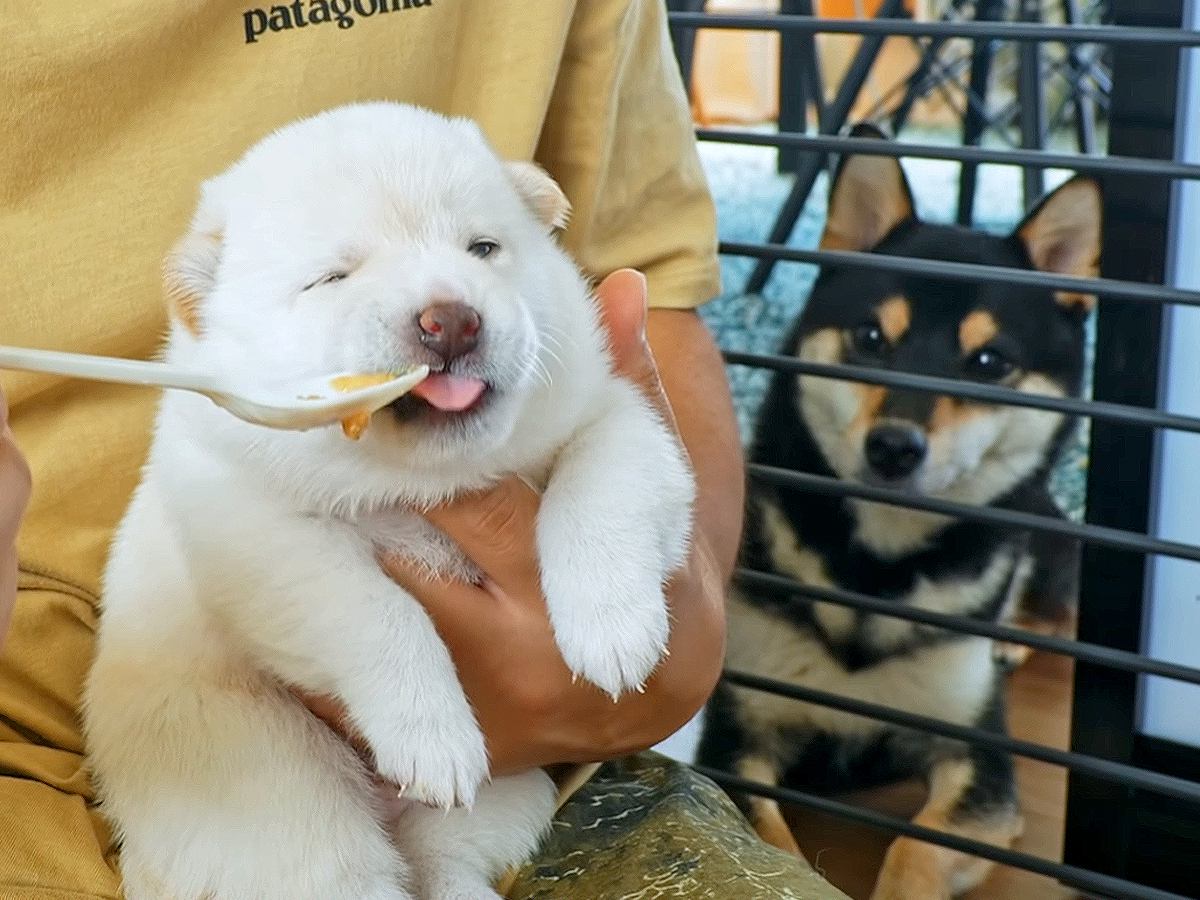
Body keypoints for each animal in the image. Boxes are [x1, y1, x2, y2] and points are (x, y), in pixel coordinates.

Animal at [84, 102, 696, 900]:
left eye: (483, 248)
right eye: (331, 278)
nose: (451, 318)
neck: (421, 479)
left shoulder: (618, 416)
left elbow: (603, 487)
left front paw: (613, 631)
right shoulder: (254, 526)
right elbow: (376, 611)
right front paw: (432, 736)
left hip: (499, 798)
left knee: (446, 863)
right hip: (281, 797)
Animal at [700, 128, 1099, 900]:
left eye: (989, 362)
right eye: (870, 338)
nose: (893, 447)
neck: (876, 570)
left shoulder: (979, 762)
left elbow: (915, 850)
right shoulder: (739, 739)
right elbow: (771, 849)